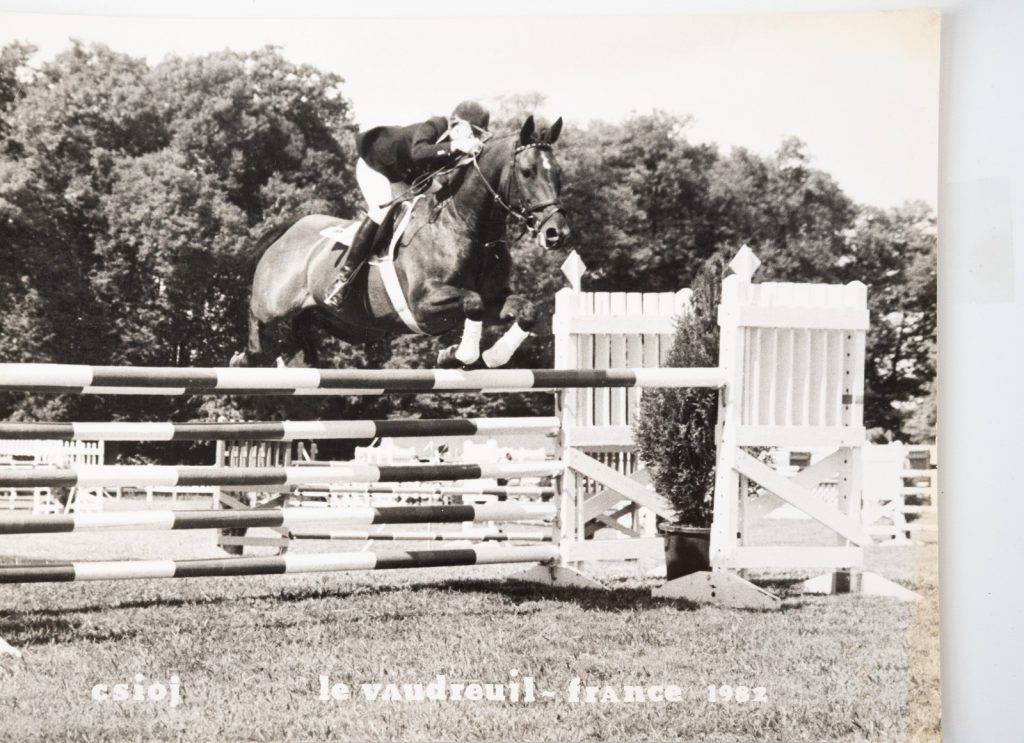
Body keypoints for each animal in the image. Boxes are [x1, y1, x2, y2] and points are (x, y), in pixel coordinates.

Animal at [229, 115, 570, 370]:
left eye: (559, 173)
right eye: (527, 172)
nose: (558, 233)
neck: (464, 225)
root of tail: (290, 228)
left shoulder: (493, 299)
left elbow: (526, 310)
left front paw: (488, 356)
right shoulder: (424, 302)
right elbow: (472, 302)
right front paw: (460, 355)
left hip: (339, 322)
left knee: (302, 340)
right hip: (276, 302)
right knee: (256, 313)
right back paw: (246, 356)